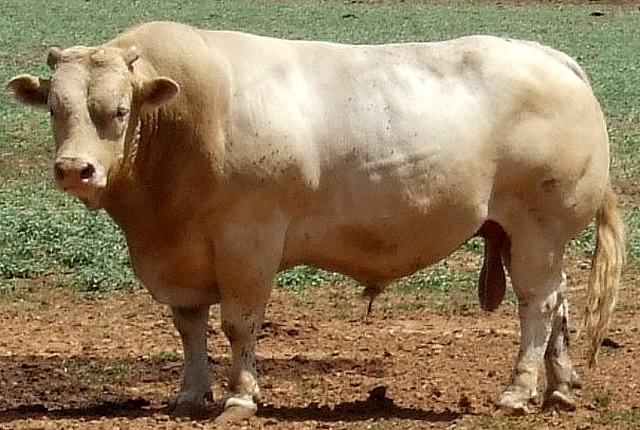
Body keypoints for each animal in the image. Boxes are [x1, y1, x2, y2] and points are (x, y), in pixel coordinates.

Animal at [7, 21, 625, 422]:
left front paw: (240, 398)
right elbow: (189, 326)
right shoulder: (180, 254)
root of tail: (551, 57)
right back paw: (560, 388)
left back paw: (517, 392)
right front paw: (190, 394)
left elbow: (239, 323)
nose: (75, 169)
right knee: (557, 301)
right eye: (57, 109)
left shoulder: (248, 240)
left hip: (538, 228)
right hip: (523, 236)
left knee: (537, 305)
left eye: (118, 111)